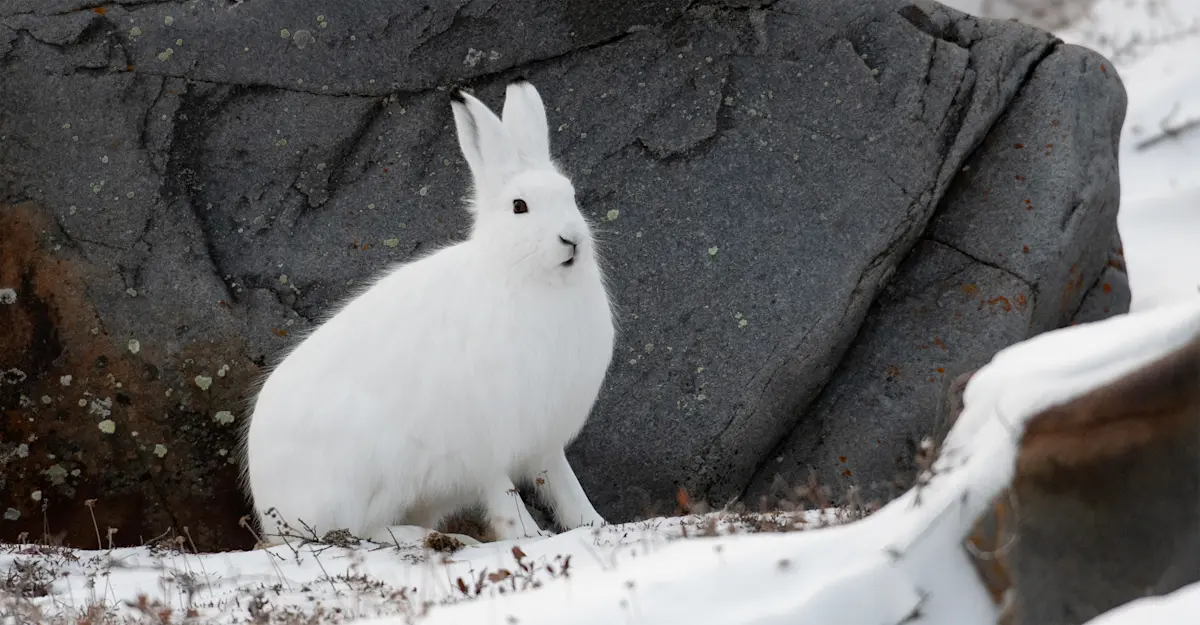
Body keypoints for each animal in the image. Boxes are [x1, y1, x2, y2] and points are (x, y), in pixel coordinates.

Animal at [241, 79, 615, 545]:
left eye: (571, 196)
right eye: (519, 206)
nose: (572, 239)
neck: (522, 277)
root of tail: (272, 514)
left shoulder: (543, 434)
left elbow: (564, 484)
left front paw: (596, 525)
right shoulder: (484, 438)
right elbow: (504, 494)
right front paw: (529, 537)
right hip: (376, 466)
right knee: (357, 533)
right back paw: (444, 539)